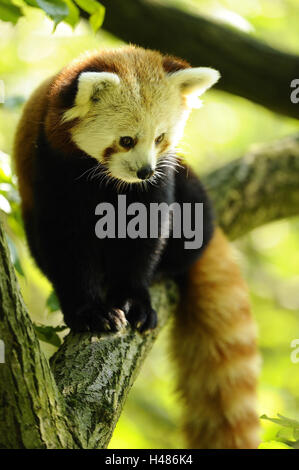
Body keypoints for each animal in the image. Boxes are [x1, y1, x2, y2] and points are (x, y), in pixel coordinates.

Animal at [12, 46, 262, 450]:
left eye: (160, 138)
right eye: (127, 140)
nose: (145, 171)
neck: (106, 181)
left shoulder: (157, 186)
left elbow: (144, 239)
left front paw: (133, 299)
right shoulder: (49, 172)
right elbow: (65, 250)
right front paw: (90, 311)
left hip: (193, 195)